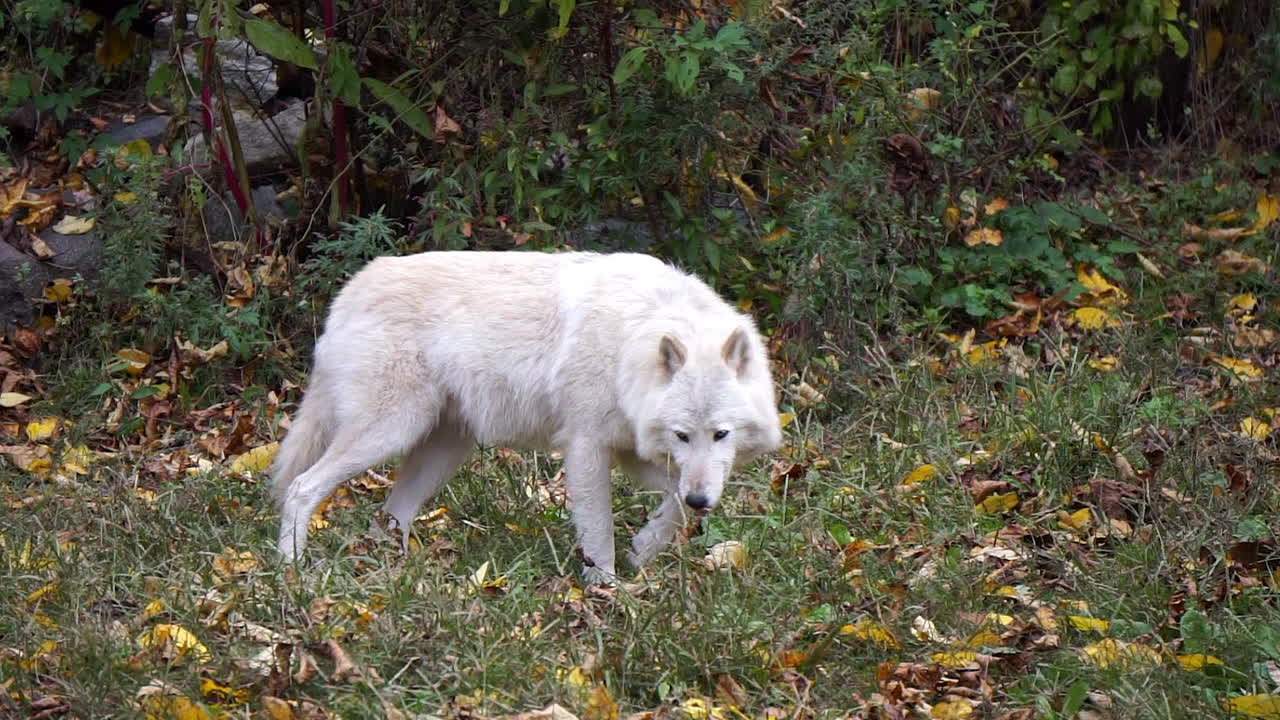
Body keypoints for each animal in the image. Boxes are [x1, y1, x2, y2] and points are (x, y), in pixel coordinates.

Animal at [271, 250, 783, 582]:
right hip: (389, 432)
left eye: (721, 434)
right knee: (301, 488)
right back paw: (292, 573)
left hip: (442, 451)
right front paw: (608, 594)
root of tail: (350, 289)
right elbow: (599, 533)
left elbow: (674, 504)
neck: (628, 342)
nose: (703, 501)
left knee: (391, 514)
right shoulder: (587, 448)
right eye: (682, 434)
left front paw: (645, 546)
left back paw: (400, 575)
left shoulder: (633, 451)